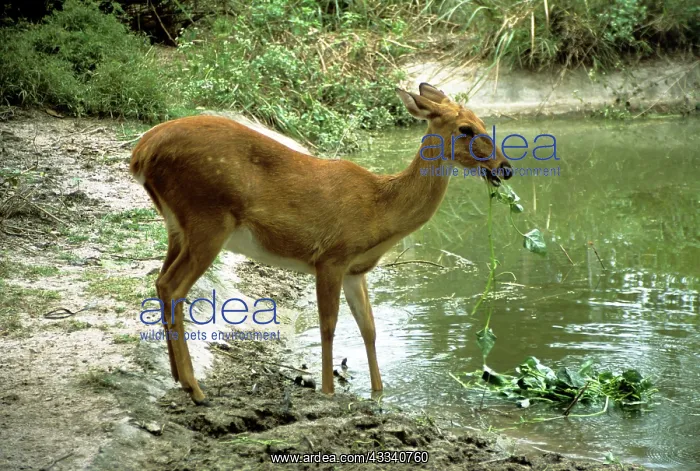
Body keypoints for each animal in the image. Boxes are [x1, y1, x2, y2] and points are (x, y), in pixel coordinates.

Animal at [130, 83, 512, 405]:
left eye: (483, 122)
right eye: (466, 129)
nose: (505, 168)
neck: (380, 209)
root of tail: (140, 153)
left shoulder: (356, 270)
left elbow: (369, 328)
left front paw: (378, 393)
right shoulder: (331, 256)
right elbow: (328, 325)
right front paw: (328, 391)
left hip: (177, 226)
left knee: (160, 282)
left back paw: (178, 377)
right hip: (207, 217)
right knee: (172, 286)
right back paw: (195, 389)